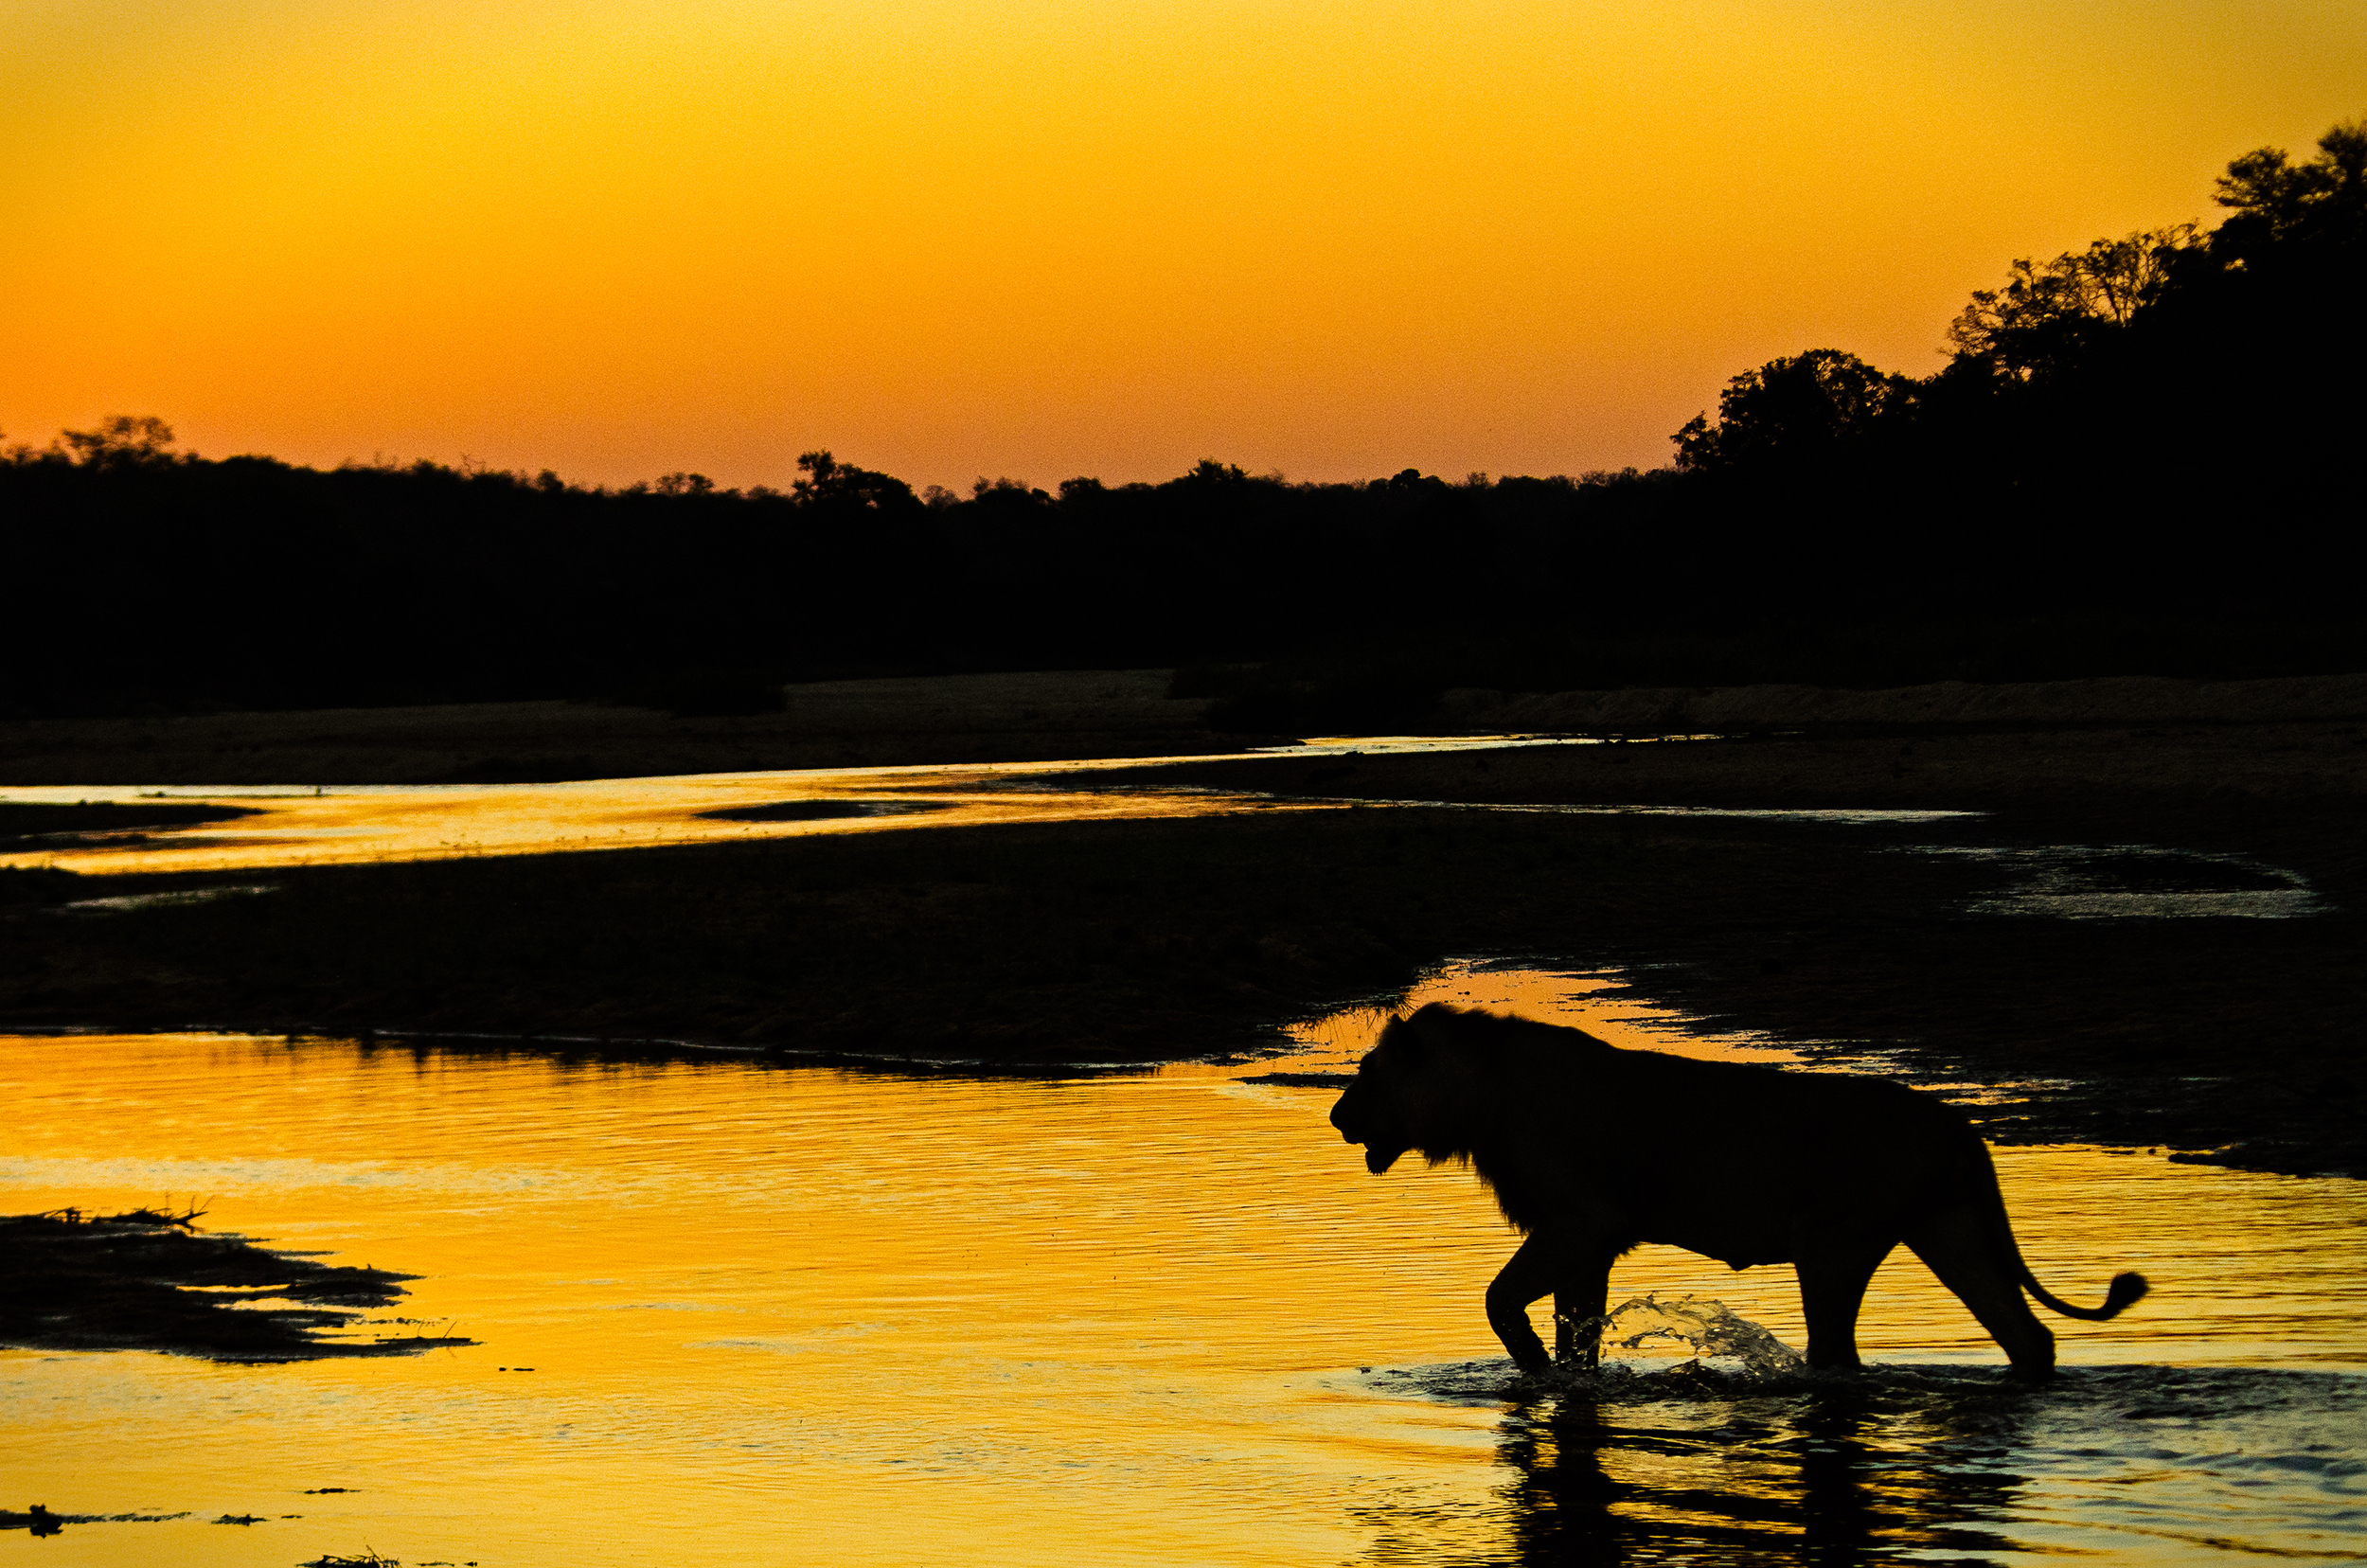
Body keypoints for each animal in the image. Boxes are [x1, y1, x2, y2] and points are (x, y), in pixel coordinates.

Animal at [1335, 1008, 2149, 1373]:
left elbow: (1499, 1298)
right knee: (2029, 1336)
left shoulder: (1581, 1222)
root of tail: (1959, 1126)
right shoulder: (1588, 1245)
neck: (1481, 1098)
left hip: (1832, 1246)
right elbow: (1577, 1334)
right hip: (1953, 1234)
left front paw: (1530, 1366)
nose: (1337, 1115)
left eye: (1368, 1073)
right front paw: (1560, 1377)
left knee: (1837, 1355)